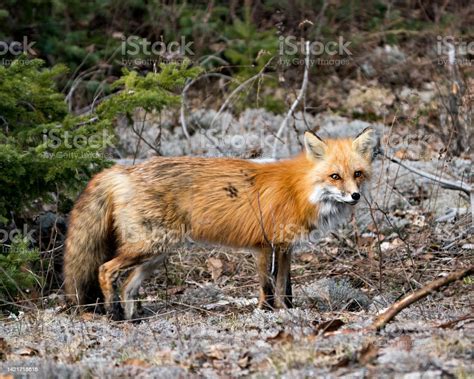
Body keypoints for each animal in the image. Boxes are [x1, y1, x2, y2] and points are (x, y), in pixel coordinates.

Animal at [63, 128, 376, 320]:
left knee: (128, 285)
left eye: (357, 174)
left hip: (156, 254)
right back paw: (113, 314)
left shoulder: (285, 247)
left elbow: (285, 287)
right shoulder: (263, 246)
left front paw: (287, 311)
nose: (355, 196)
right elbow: (267, 286)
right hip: (148, 247)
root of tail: (124, 170)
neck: (297, 190)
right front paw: (265, 313)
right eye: (335, 176)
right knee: (105, 270)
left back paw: (133, 320)